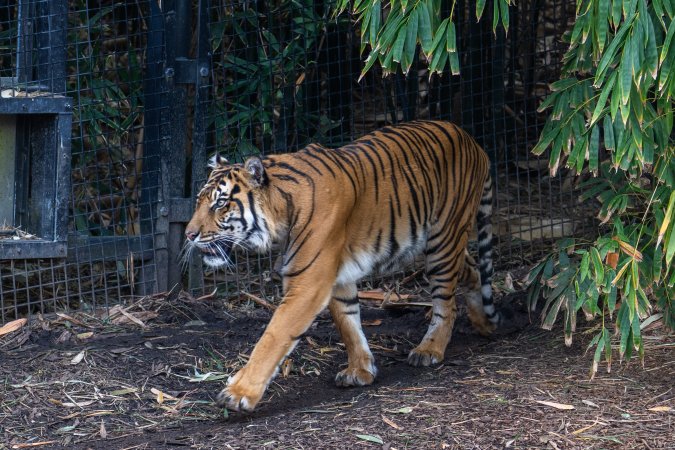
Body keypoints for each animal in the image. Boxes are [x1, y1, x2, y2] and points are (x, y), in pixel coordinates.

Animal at [184, 120, 502, 412]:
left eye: (220, 204)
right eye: (199, 202)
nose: (189, 234)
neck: (282, 211)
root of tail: (472, 140)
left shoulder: (308, 283)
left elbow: (273, 337)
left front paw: (238, 393)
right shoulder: (336, 275)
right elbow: (348, 323)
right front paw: (361, 370)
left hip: (442, 241)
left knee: (446, 302)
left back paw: (430, 349)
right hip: (436, 243)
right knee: (471, 268)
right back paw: (483, 323)